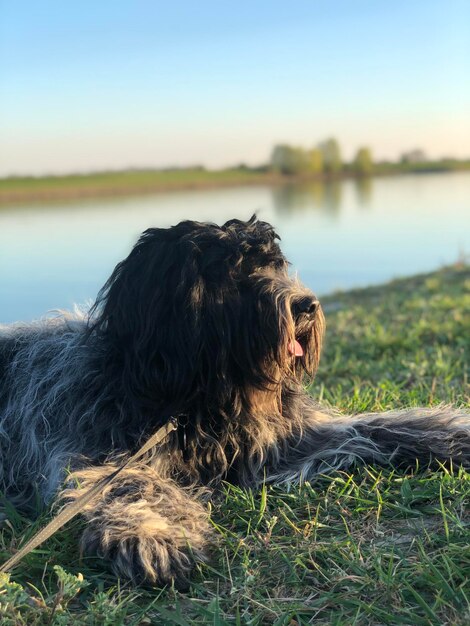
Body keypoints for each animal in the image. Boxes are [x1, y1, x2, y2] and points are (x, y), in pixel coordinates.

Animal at [0, 216, 470, 584]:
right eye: (234, 274)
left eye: (275, 265)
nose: (308, 305)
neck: (202, 400)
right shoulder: (91, 445)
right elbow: (129, 483)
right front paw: (153, 532)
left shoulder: (280, 442)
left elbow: (377, 425)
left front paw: (452, 433)